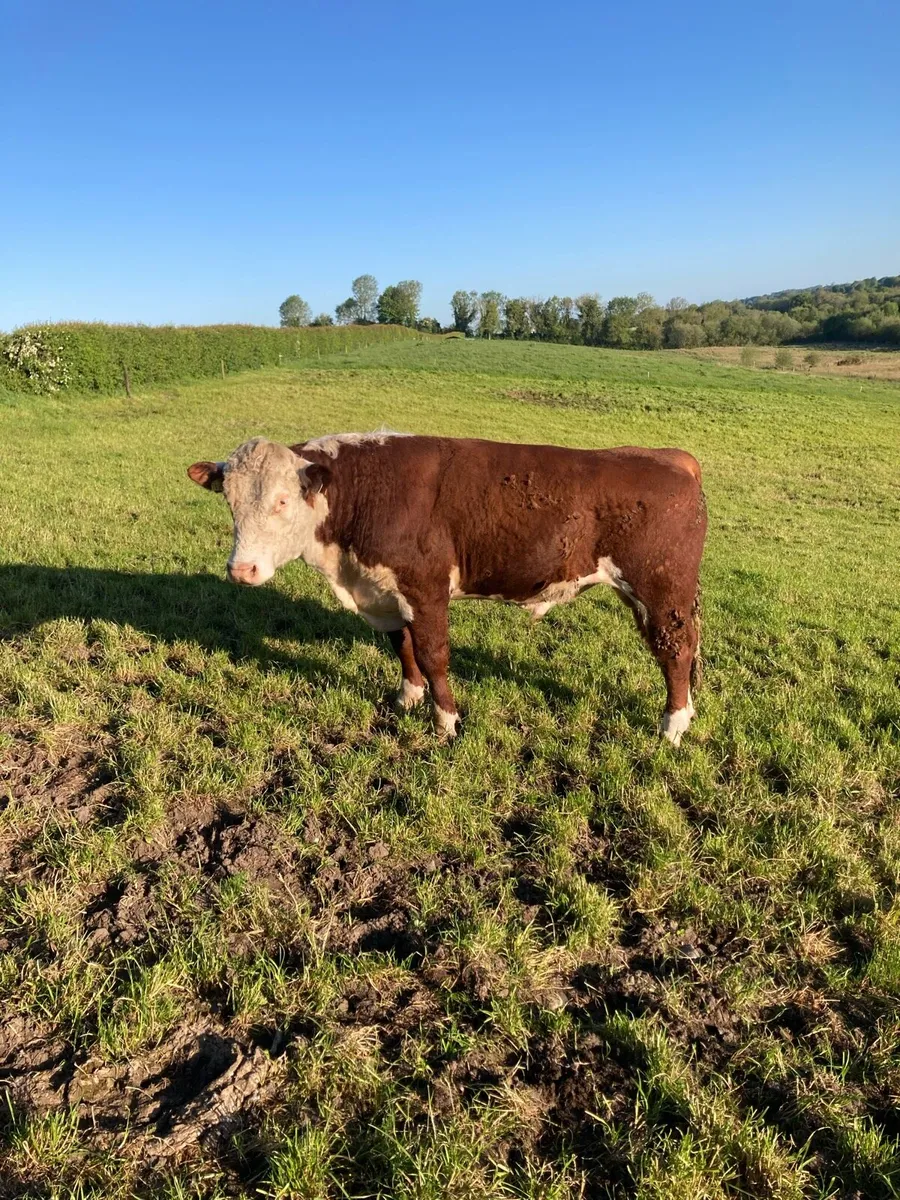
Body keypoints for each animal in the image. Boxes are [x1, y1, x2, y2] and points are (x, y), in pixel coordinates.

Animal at [188, 432, 707, 745]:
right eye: (230, 501)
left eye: (281, 500)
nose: (242, 570)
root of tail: (671, 457)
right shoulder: (386, 591)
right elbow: (402, 646)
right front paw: (408, 696)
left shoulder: (426, 588)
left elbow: (434, 653)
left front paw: (445, 722)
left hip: (661, 590)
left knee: (675, 651)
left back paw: (672, 725)